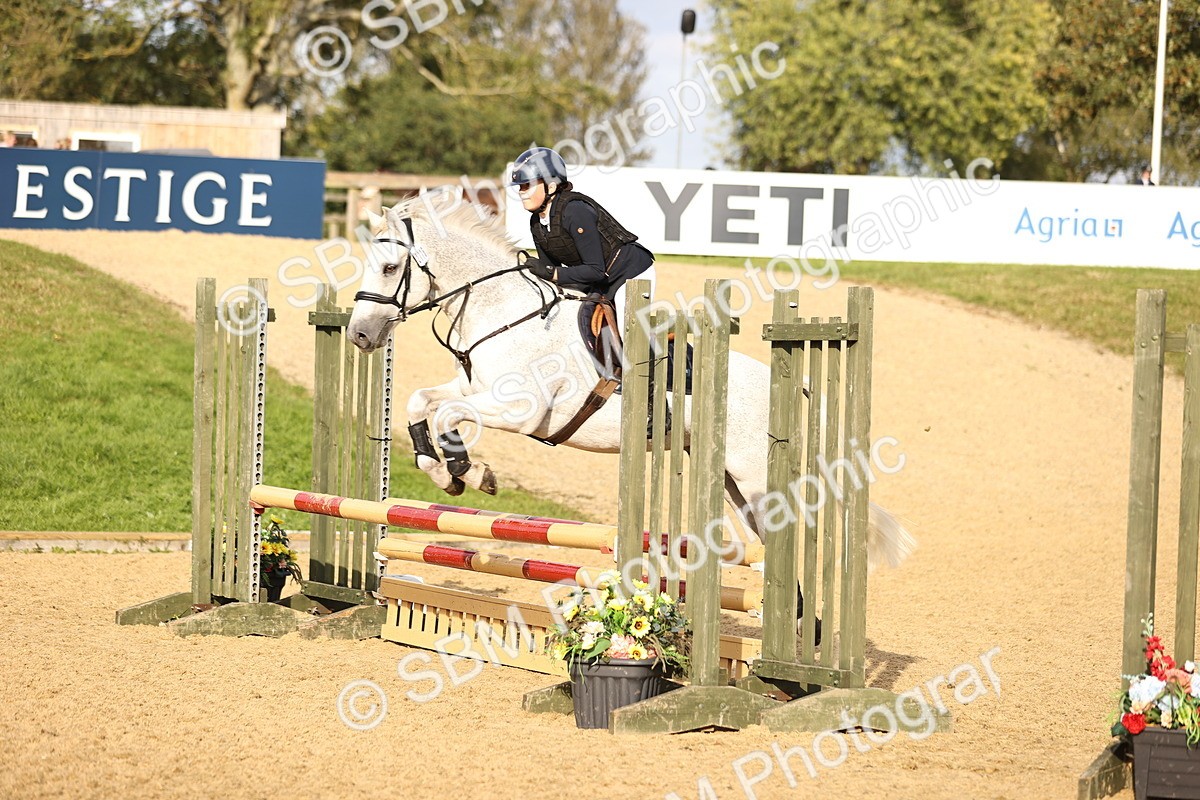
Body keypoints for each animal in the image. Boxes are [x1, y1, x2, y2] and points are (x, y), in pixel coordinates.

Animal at [346, 195, 915, 572]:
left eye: (391, 267)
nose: (359, 335)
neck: (504, 310)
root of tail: (792, 388)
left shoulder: (521, 412)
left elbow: (446, 414)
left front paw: (471, 472)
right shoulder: (474, 390)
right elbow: (422, 401)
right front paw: (443, 472)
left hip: (756, 477)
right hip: (735, 482)